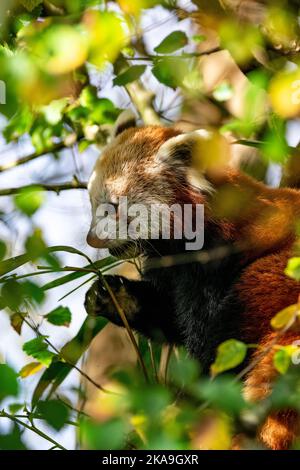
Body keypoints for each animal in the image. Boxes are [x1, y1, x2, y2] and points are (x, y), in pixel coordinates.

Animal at [84, 109, 300, 448]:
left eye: (115, 207)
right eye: (93, 203)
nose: (92, 240)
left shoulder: (213, 261)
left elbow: (201, 331)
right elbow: (169, 315)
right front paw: (113, 297)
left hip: (278, 278)